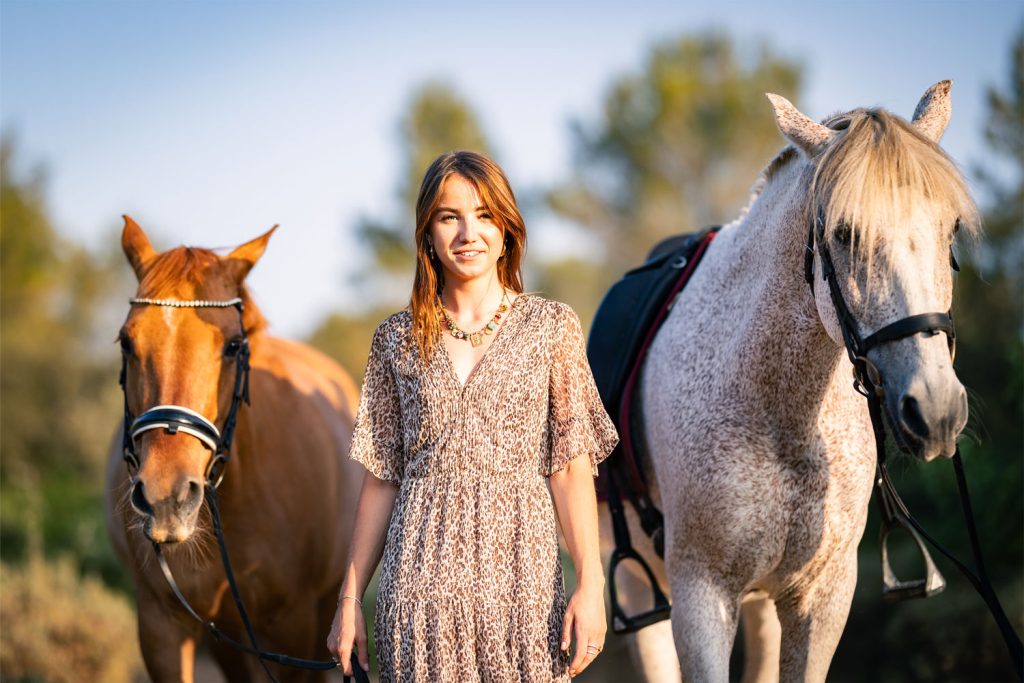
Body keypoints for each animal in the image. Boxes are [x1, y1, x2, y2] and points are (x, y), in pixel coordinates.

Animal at [597, 81, 978, 681]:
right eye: (844, 234)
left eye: (950, 229)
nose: (937, 410)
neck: (781, 414)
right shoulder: (700, 601)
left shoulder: (820, 597)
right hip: (644, 595)